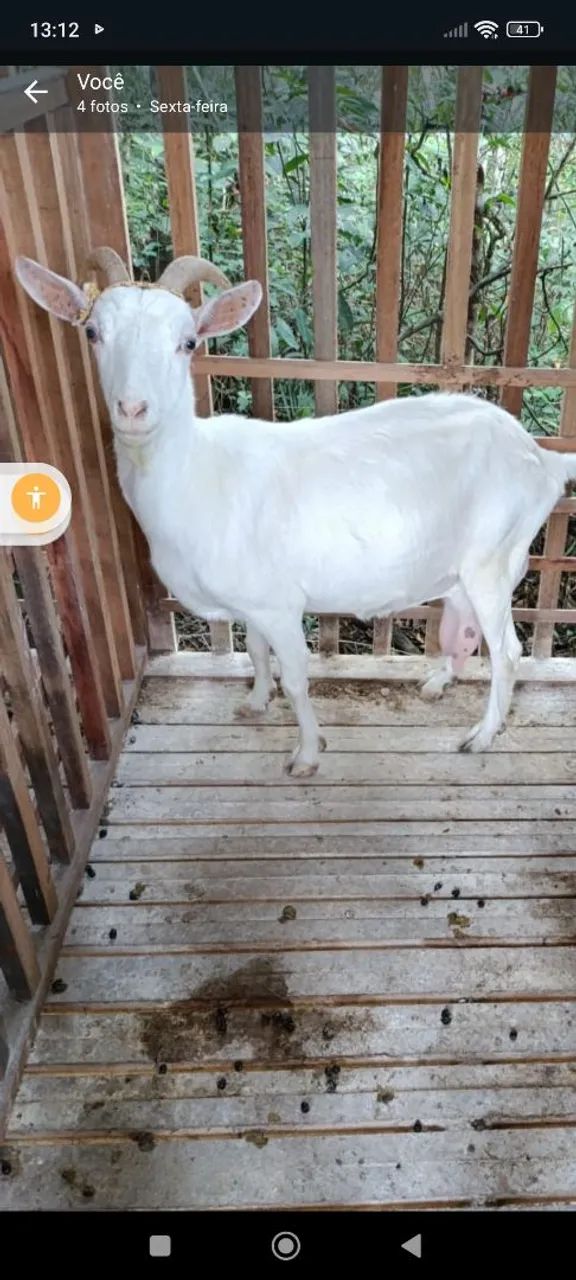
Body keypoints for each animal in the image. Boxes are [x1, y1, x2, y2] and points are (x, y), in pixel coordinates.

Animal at [15, 249, 576, 776]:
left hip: (492, 558)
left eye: (188, 341)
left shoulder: (279, 603)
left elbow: (298, 680)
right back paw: (438, 680)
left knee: (508, 652)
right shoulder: (252, 602)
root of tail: (540, 457)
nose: (133, 409)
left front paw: (306, 754)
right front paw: (254, 702)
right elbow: (256, 652)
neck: (198, 476)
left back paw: (480, 736)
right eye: (92, 332)